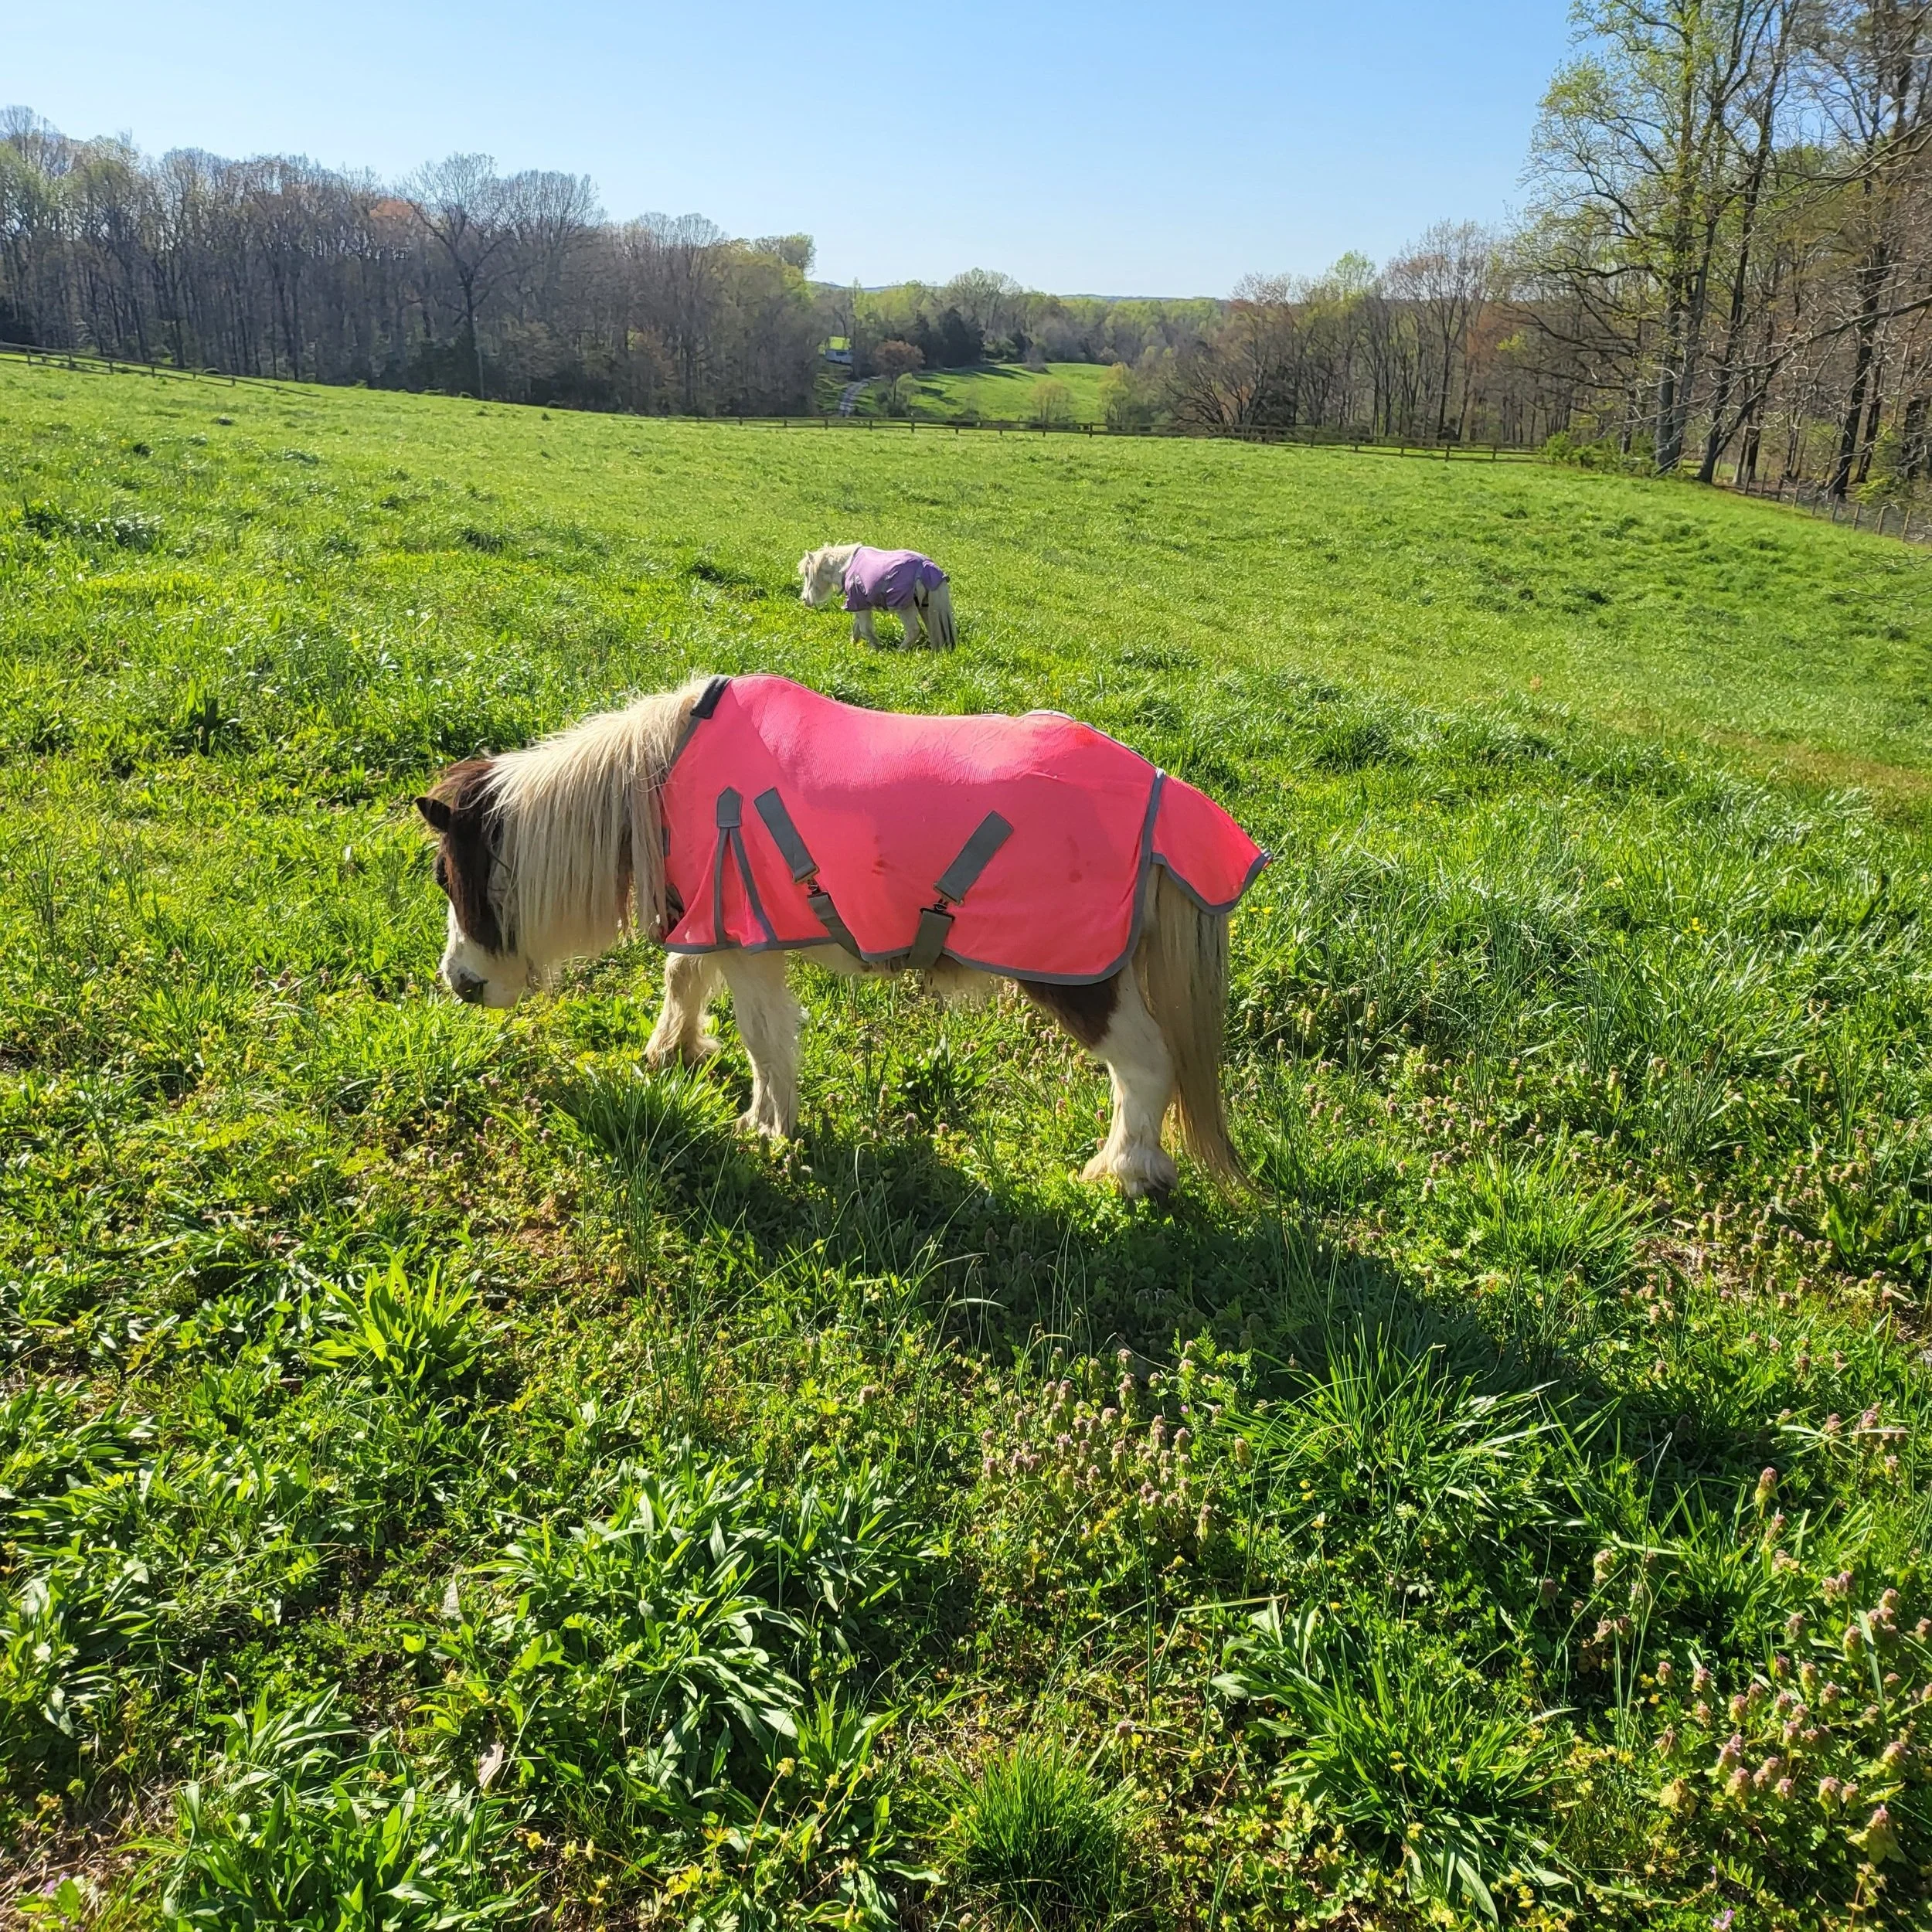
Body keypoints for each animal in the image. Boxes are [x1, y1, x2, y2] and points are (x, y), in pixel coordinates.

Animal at [414, 673, 1266, 1196]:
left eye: (448, 877)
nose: (459, 984)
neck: (662, 777)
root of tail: (1163, 796)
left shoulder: (748, 941)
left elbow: (764, 1037)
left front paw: (764, 1130)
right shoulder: (713, 920)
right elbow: (684, 979)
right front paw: (673, 1054)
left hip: (1079, 980)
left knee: (1144, 1065)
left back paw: (1125, 1171)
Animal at [797, 543, 957, 649]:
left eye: (807, 573)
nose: (805, 599)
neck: (847, 567)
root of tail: (927, 568)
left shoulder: (861, 606)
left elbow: (866, 630)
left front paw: (876, 648)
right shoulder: (860, 606)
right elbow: (857, 627)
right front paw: (853, 645)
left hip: (905, 608)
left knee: (914, 630)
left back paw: (900, 651)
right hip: (925, 608)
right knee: (933, 630)